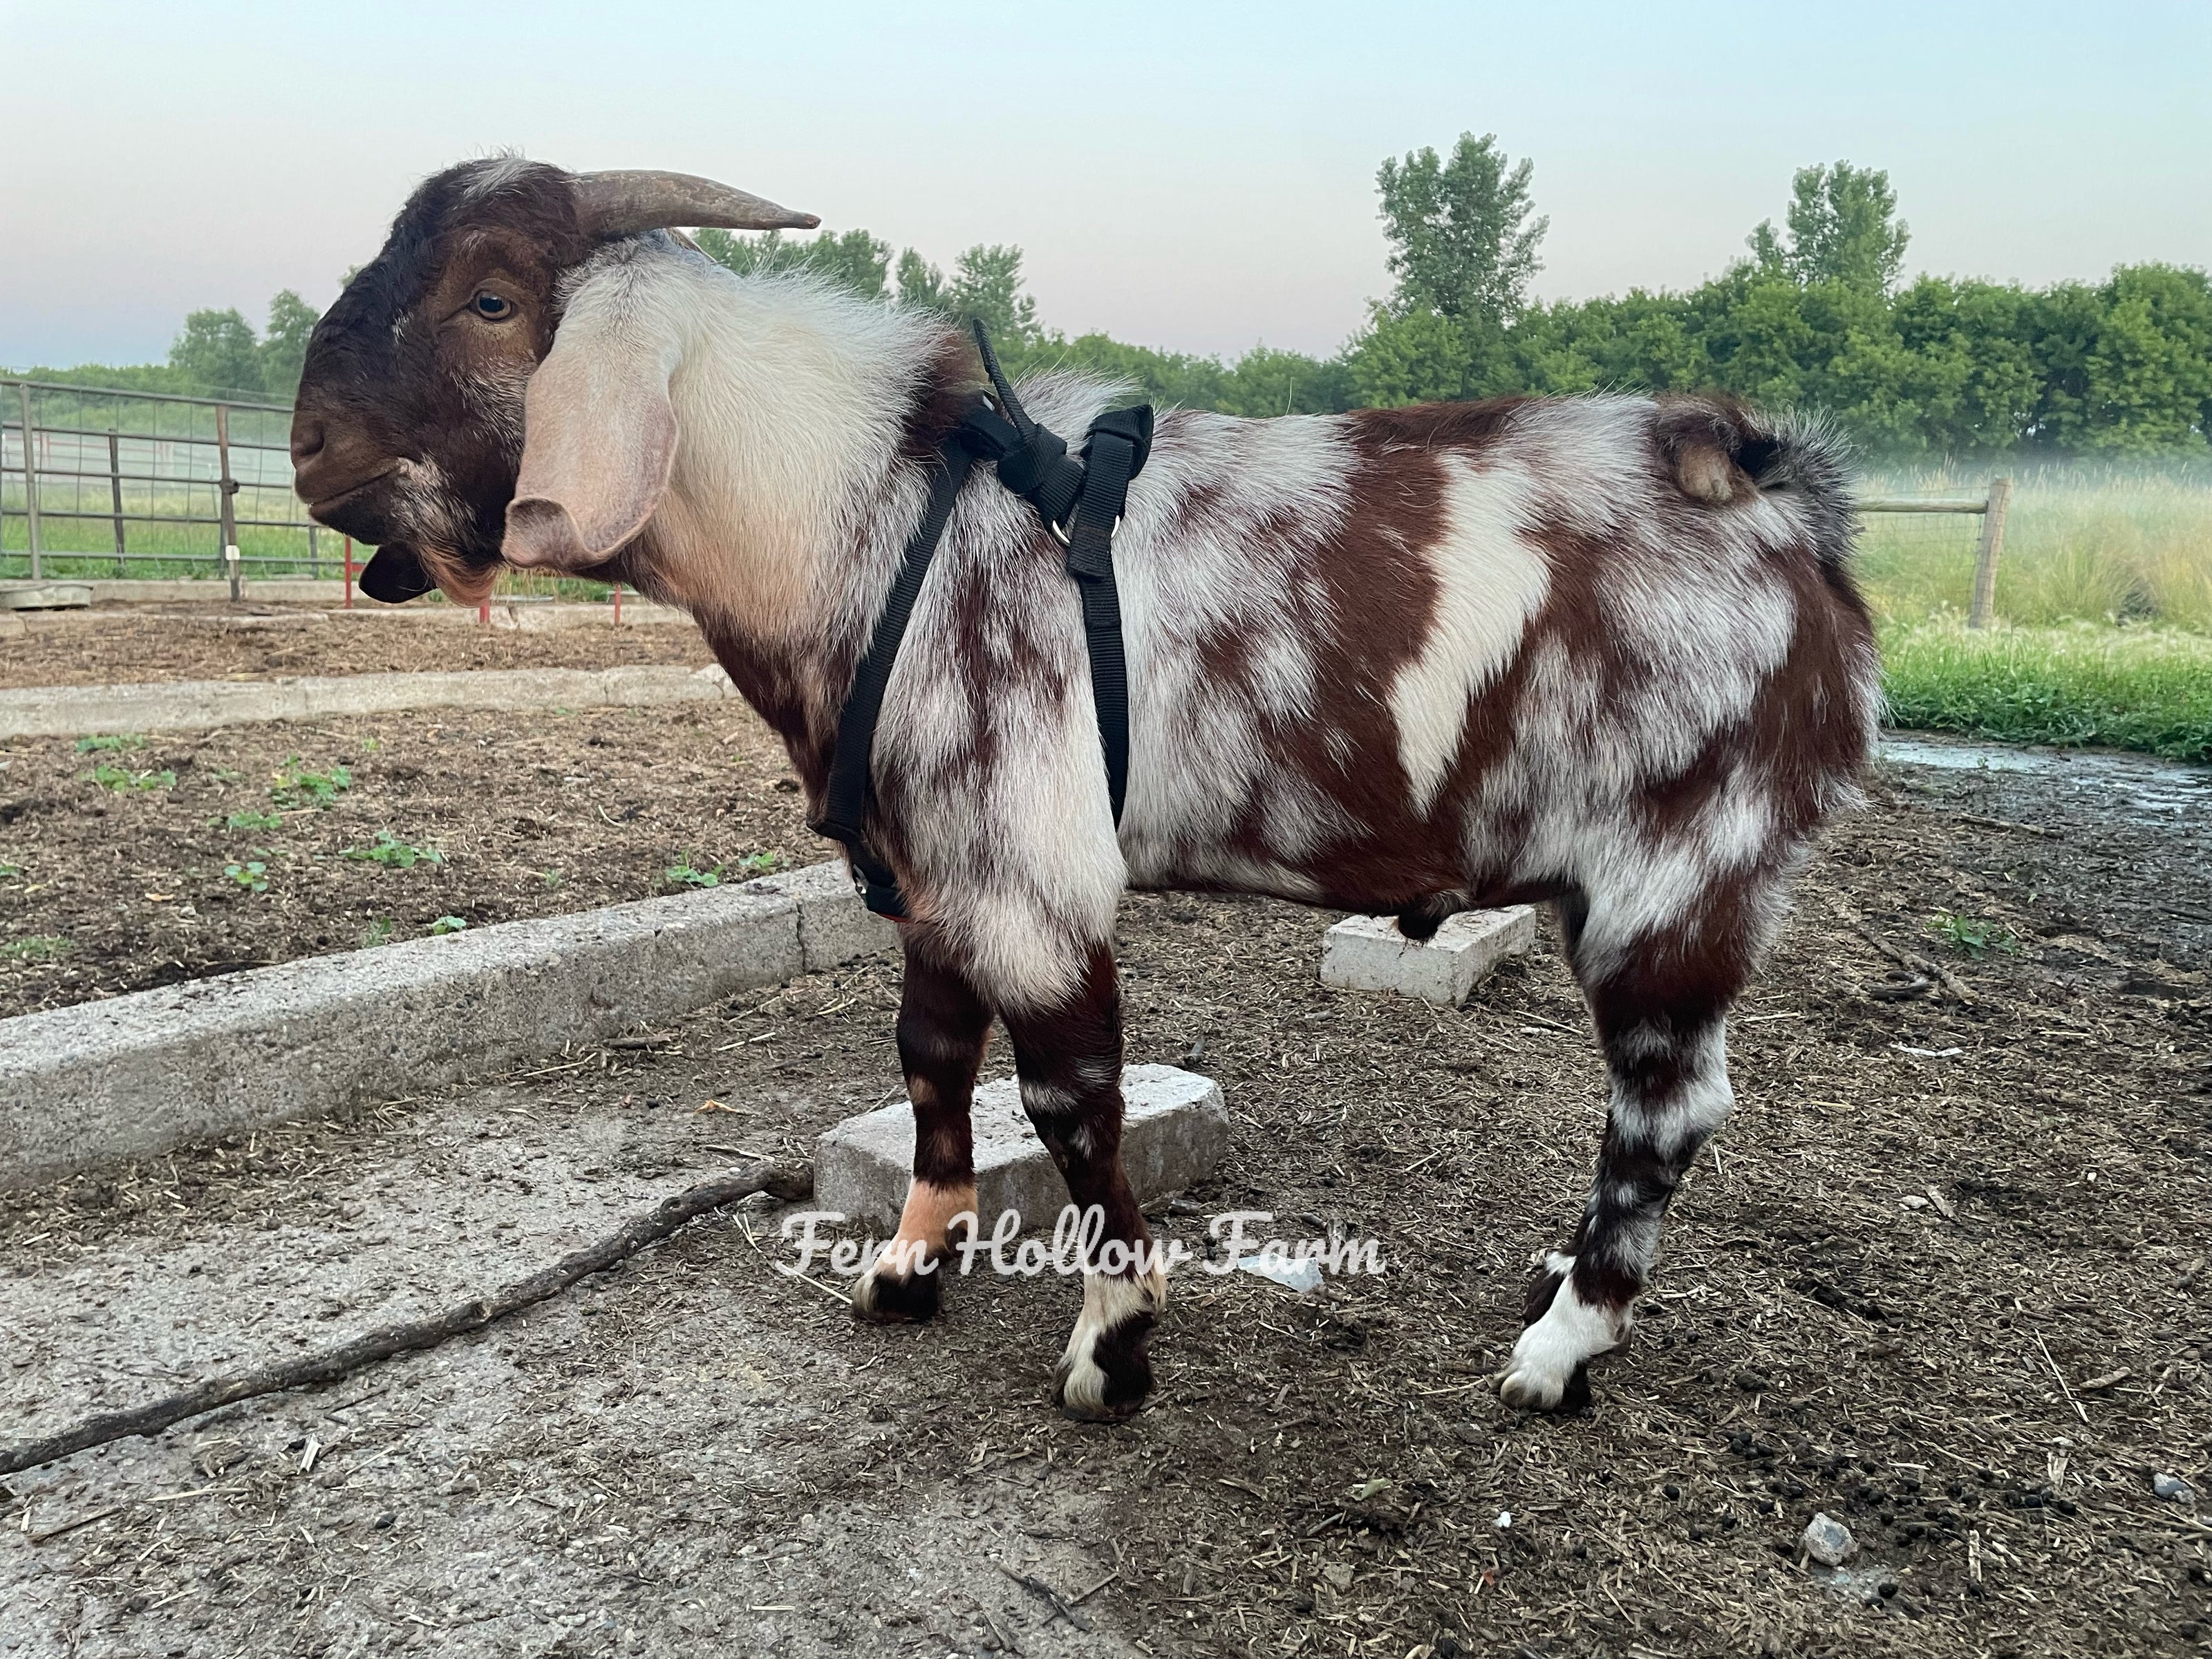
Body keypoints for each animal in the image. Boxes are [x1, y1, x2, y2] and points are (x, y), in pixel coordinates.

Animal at [292, 159, 1879, 1421]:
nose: (308, 451)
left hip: (1681, 871)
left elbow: (1069, 1102)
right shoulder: (934, 868)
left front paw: (1114, 1348)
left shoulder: (1032, 874)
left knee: (1668, 1112)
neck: (873, 517)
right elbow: (931, 1060)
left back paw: (1560, 1350)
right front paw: (910, 1266)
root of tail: (1788, 505)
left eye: (493, 300)